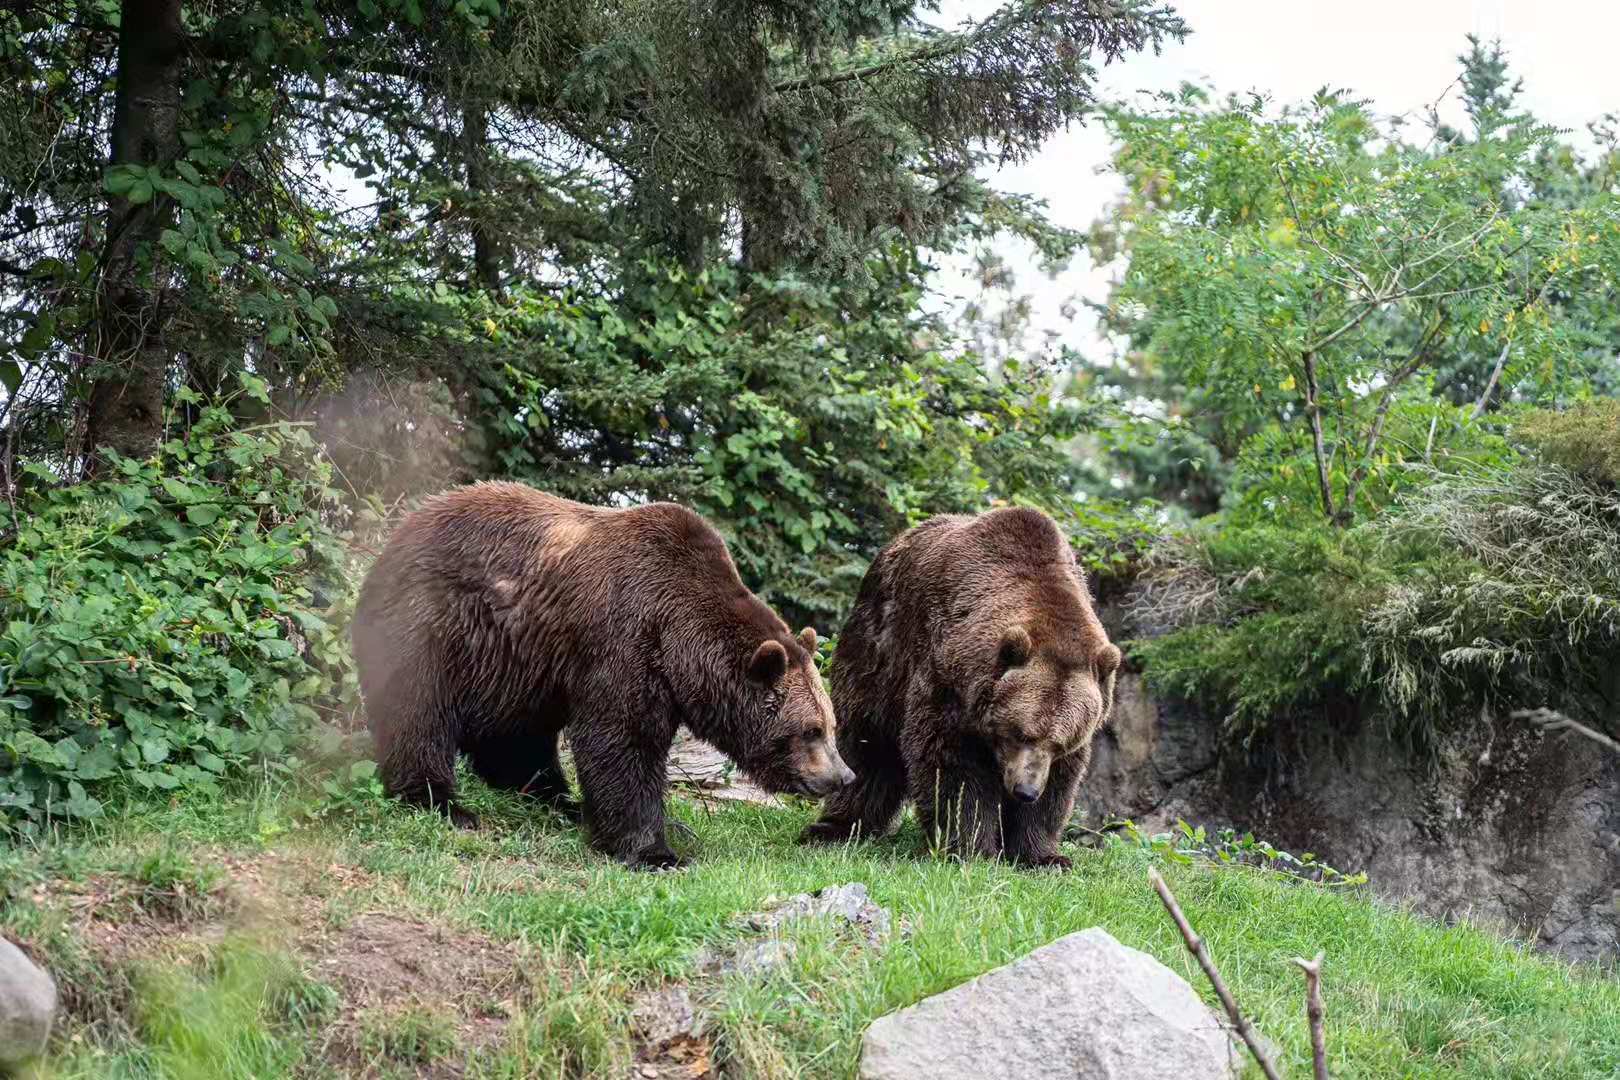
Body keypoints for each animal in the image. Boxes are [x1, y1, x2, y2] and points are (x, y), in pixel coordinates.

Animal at [353, 482, 855, 867]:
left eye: (831, 725)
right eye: (810, 730)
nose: (843, 776)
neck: (679, 639)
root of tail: (400, 531)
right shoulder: (623, 641)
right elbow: (621, 741)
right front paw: (655, 852)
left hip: (517, 661)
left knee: (516, 733)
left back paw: (558, 800)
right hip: (432, 621)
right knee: (418, 709)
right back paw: (440, 800)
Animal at [803, 508, 1121, 867]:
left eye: (1058, 743)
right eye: (1021, 734)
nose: (1025, 791)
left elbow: (1059, 785)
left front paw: (1044, 856)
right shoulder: (947, 682)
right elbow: (952, 768)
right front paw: (971, 848)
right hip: (877, 653)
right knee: (867, 744)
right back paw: (836, 827)